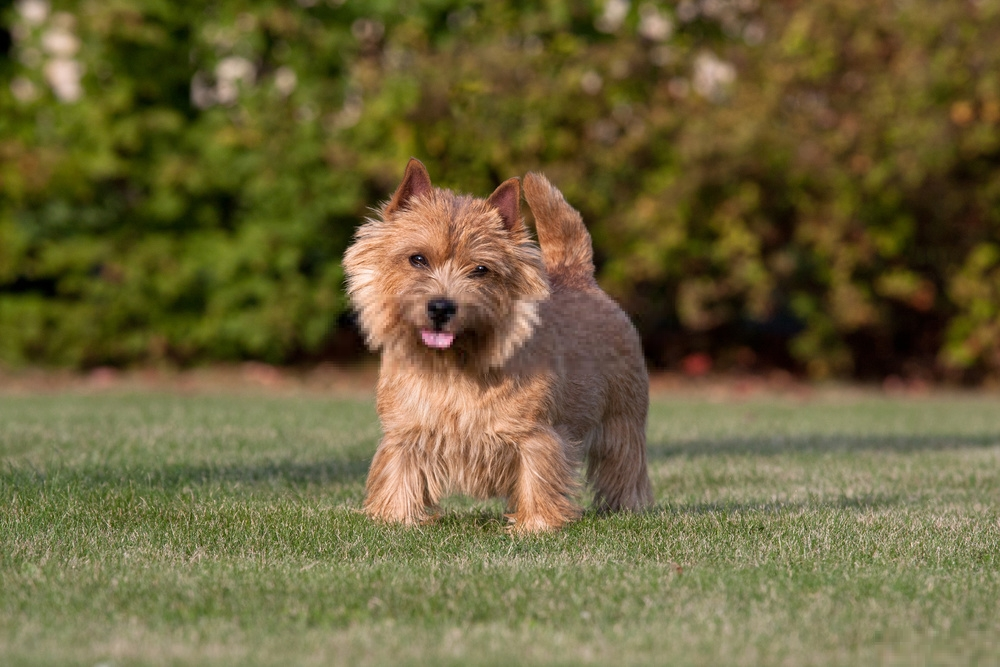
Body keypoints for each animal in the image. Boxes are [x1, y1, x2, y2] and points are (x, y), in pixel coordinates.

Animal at [344, 158, 656, 532]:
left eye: (481, 269)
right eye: (417, 259)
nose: (441, 307)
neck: (453, 365)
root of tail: (579, 276)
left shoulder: (535, 433)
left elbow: (538, 475)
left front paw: (535, 525)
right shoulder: (404, 431)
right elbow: (398, 471)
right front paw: (396, 518)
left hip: (623, 415)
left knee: (625, 463)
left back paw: (628, 508)